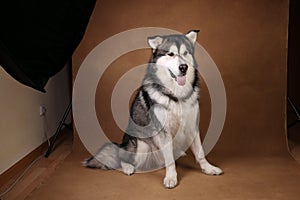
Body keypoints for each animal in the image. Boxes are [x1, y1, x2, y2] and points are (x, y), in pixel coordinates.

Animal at [84, 29, 223, 188]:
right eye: (171, 54)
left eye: (185, 53)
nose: (183, 67)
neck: (176, 95)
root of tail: (121, 145)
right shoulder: (163, 131)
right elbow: (170, 160)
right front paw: (171, 178)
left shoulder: (192, 126)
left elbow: (200, 152)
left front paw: (208, 168)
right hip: (140, 146)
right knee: (121, 159)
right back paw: (128, 167)